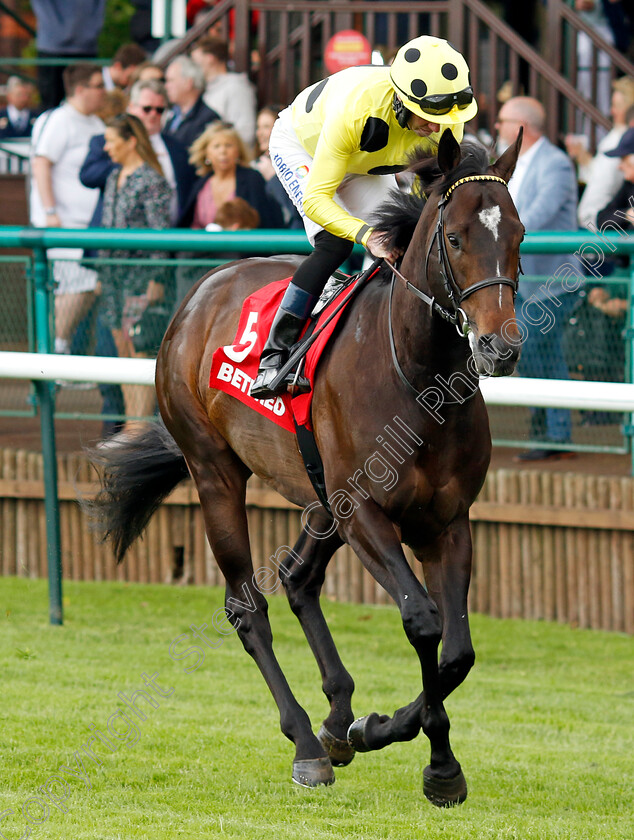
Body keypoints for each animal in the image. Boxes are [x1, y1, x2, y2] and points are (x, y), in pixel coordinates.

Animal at [89, 130, 524, 808]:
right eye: (455, 239)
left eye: (520, 234)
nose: (499, 347)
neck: (416, 377)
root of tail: (202, 289)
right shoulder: (367, 513)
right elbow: (423, 621)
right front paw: (431, 758)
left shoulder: (447, 521)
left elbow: (457, 653)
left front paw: (387, 733)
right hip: (216, 471)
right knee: (247, 607)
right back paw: (307, 744)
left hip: (322, 500)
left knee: (297, 579)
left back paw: (338, 721)